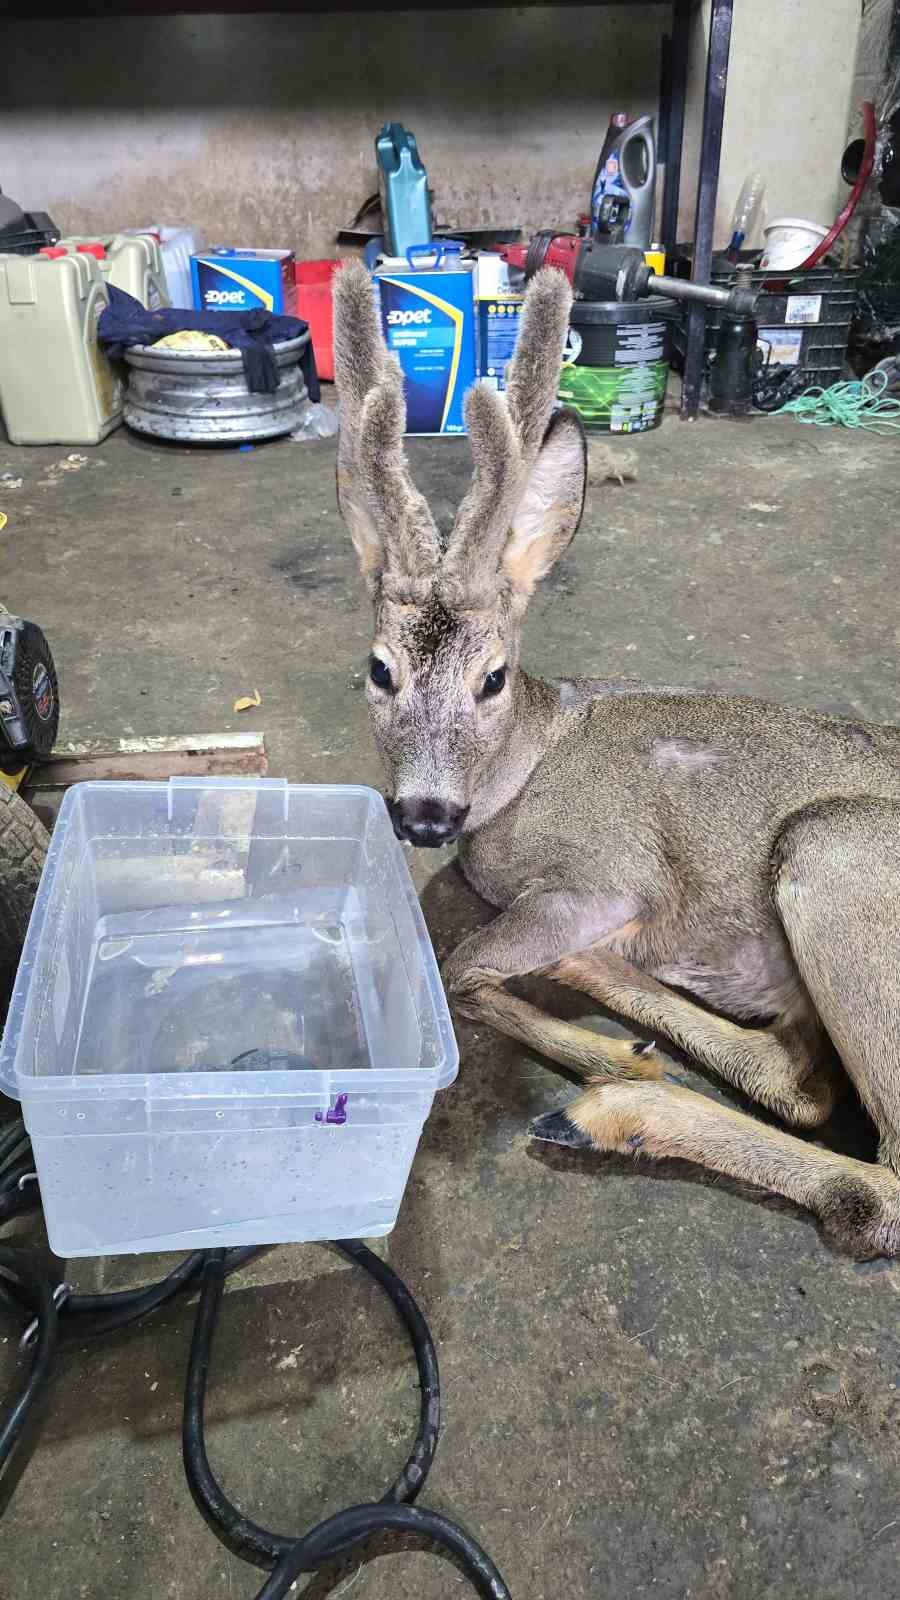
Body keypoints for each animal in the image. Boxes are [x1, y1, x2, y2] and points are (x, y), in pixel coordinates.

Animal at [333, 259, 896, 1260]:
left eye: (492, 678)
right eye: (379, 669)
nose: (426, 814)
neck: (529, 765)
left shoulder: (602, 874)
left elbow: (458, 970)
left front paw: (597, 1052)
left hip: (836, 854)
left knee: (874, 1184)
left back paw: (614, 1107)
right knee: (800, 1078)